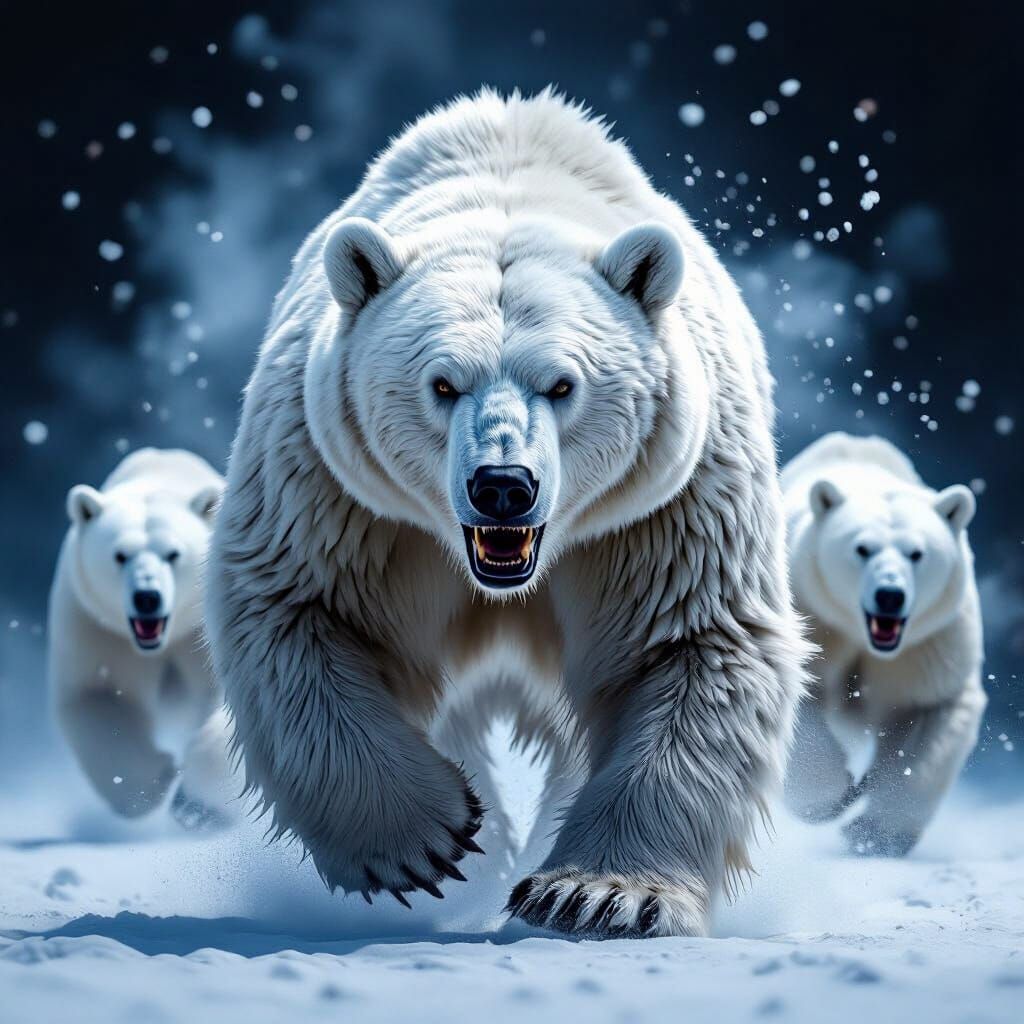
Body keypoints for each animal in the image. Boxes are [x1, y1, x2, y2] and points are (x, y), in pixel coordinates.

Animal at [49, 447, 236, 826]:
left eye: (174, 554)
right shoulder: (99, 627)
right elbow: (100, 697)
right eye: (120, 555)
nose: (147, 597)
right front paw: (156, 781)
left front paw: (198, 802)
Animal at [207, 88, 808, 938]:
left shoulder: (661, 508)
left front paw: (597, 894)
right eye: (442, 383)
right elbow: (299, 615)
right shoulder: (342, 493)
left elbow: (692, 645)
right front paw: (429, 838)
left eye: (562, 384)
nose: (503, 486)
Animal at [781, 432, 986, 856]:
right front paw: (832, 799)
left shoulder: (930, 642)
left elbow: (931, 713)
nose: (890, 595)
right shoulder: (813, 615)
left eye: (917, 553)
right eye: (862, 548)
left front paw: (875, 834)